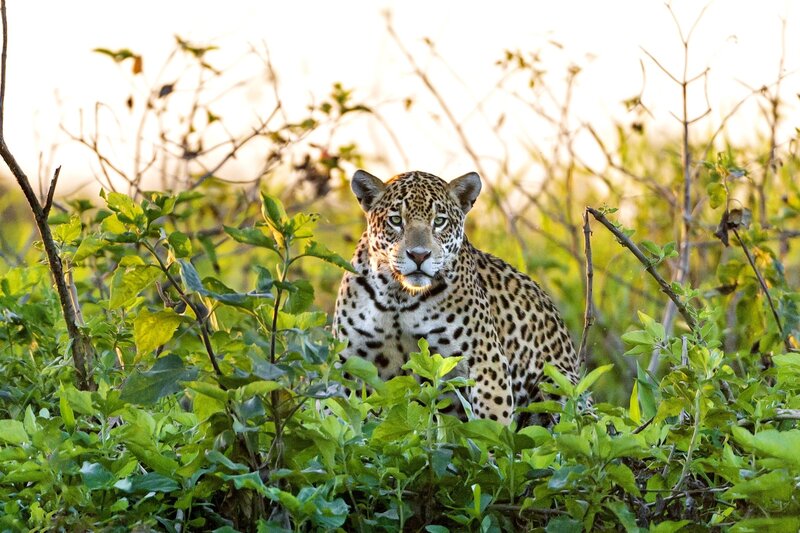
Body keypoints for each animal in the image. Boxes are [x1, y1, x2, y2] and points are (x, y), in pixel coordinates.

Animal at [332, 169, 580, 424]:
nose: (419, 255)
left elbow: (492, 424)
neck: (399, 297)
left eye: (439, 221)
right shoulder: (348, 361)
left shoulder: (486, 362)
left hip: (557, 383)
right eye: (396, 220)